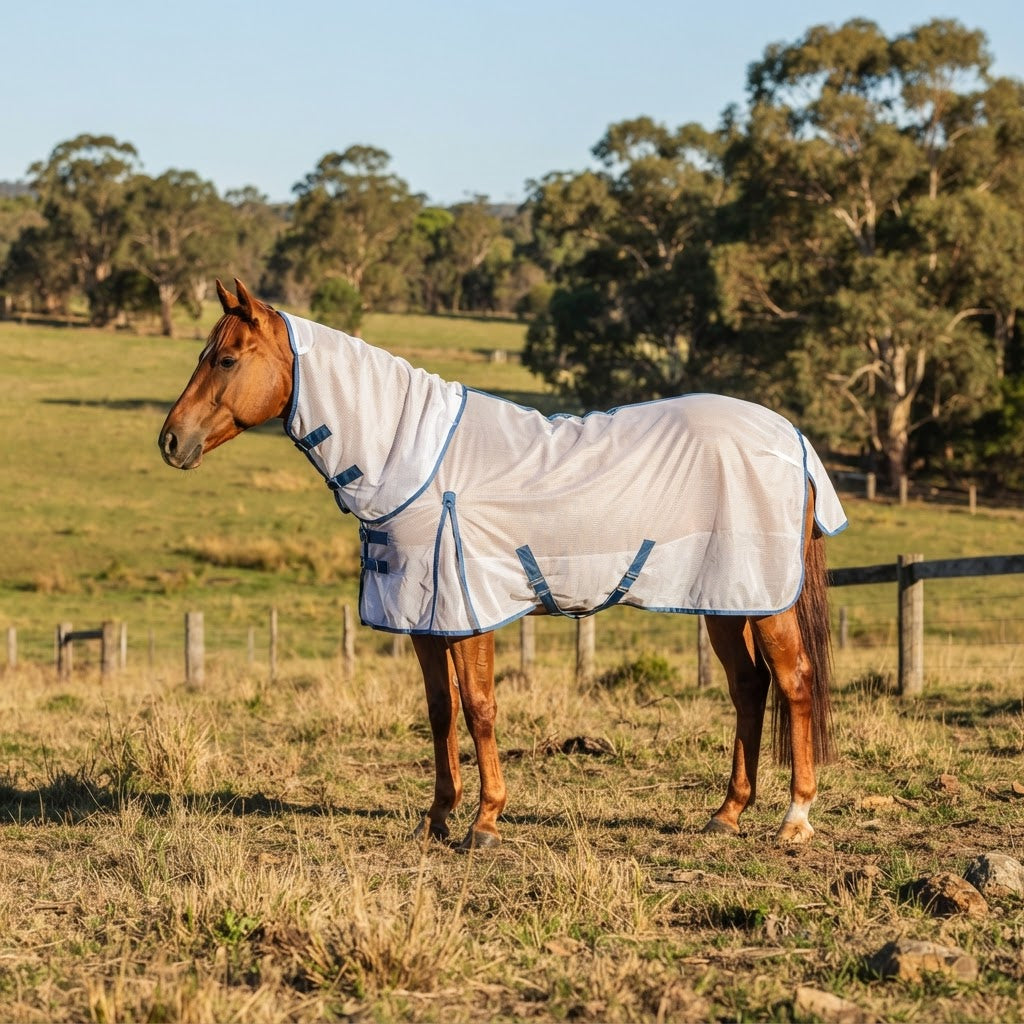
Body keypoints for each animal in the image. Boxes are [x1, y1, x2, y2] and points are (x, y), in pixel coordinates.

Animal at [159, 278, 847, 850]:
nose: (170, 440)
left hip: (765, 599)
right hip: (726, 600)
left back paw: (795, 819)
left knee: (794, 682)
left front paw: (486, 822)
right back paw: (727, 814)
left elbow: (480, 706)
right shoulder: (424, 617)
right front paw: (436, 818)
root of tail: (791, 437)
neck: (416, 462)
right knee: (748, 687)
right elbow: (440, 712)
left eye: (225, 359)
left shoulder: (469, 612)